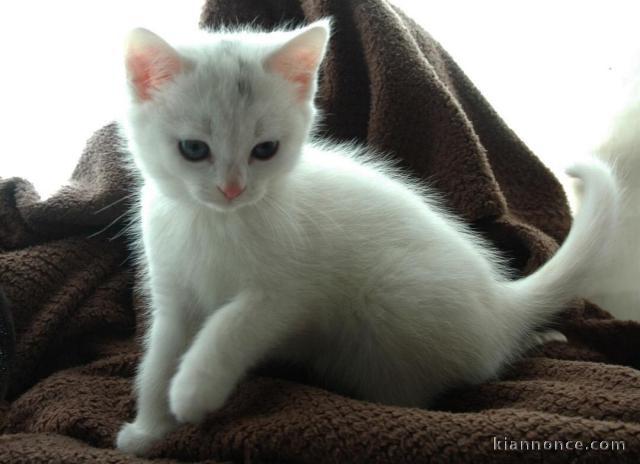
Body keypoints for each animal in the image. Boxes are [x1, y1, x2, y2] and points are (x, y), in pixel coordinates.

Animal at [116, 20, 620, 454]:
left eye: (265, 150)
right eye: (193, 149)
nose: (232, 189)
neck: (217, 221)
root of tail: (499, 303)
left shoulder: (288, 293)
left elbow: (231, 326)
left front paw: (193, 390)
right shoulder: (173, 292)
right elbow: (158, 357)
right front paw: (148, 430)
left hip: (392, 296)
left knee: (431, 384)